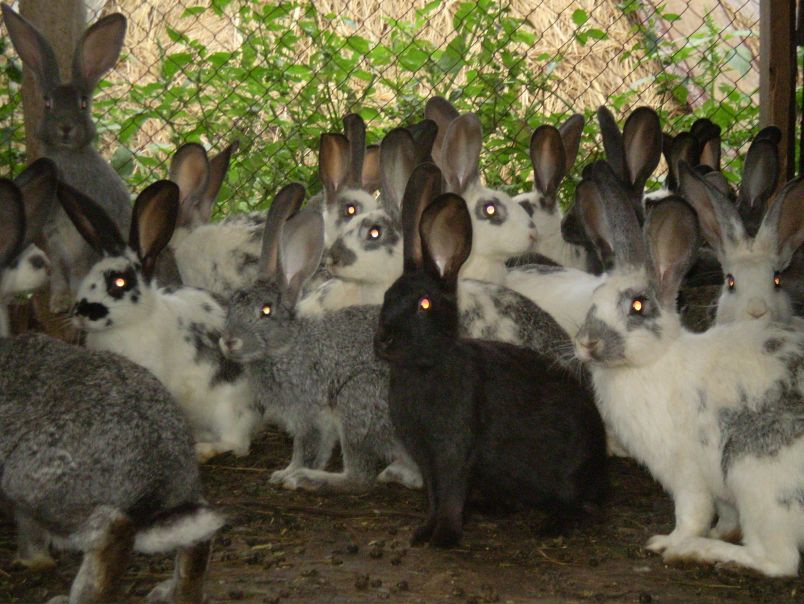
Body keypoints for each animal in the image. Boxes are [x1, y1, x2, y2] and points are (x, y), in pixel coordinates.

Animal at [0, 175, 222, 603]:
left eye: (118, 283)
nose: (81, 310)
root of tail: (155, 477)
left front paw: (31, 561)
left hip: (40, 485)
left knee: (111, 534)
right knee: (198, 534)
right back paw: (174, 593)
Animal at [2, 4, 132, 312]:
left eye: (83, 103)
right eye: (48, 103)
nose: (65, 127)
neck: (67, 155)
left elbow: (82, 269)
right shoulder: (54, 238)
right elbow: (60, 271)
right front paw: (59, 302)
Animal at [58, 179, 258, 462]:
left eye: (120, 282)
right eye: (88, 276)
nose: (81, 314)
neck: (133, 323)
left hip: (228, 407)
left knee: (237, 443)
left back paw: (204, 450)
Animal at [374, 187, 607, 548]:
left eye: (423, 304)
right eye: (387, 297)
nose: (383, 339)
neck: (425, 366)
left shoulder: (454, 451)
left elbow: (450, 496)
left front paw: (443, 539)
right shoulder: (426, 458)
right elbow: (433, 497)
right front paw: (422, 534)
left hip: (569, 473)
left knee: (577, 504)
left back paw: (550, 526)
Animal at [573, 159, 804, 577]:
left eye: (637, 305)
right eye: (595, 297)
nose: (587, 343)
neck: (655, 361)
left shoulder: (686, 476)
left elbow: (691, 514)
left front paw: (668, 542)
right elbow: (723, 515)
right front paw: (720, 530)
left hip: (757, 476)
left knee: (778, 560)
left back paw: (699, 551)